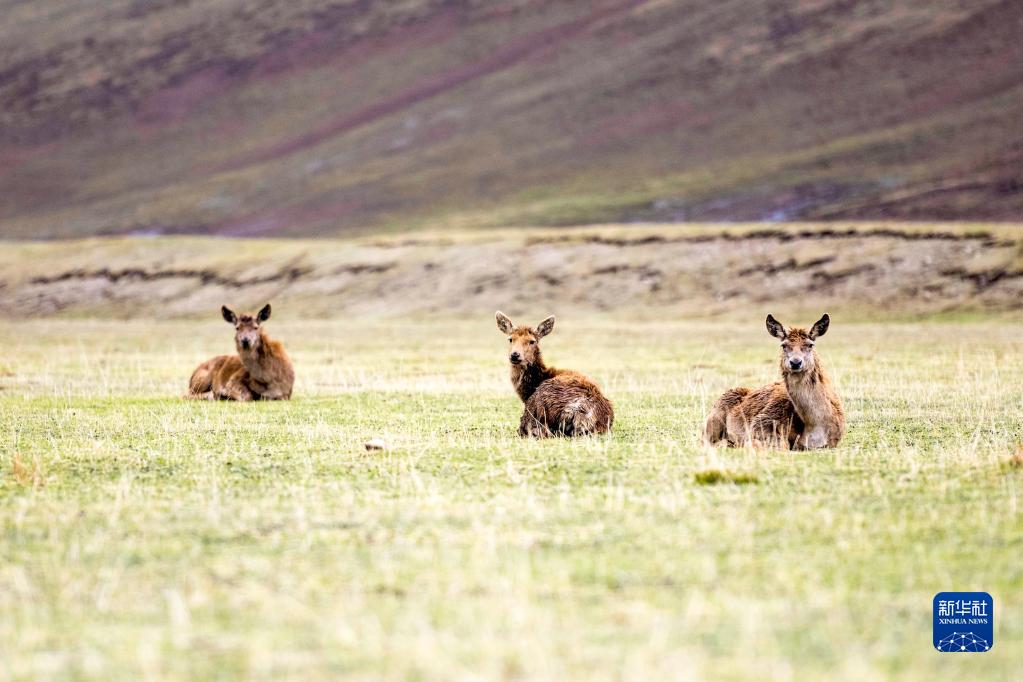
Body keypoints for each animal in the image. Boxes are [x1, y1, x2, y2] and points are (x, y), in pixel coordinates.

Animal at [703, 316, 847, 453]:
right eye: (783, 345)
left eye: (810, 345)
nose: (795, 362)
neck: (815, 430)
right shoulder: (763, 422)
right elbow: (779, 445)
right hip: (713, 419)